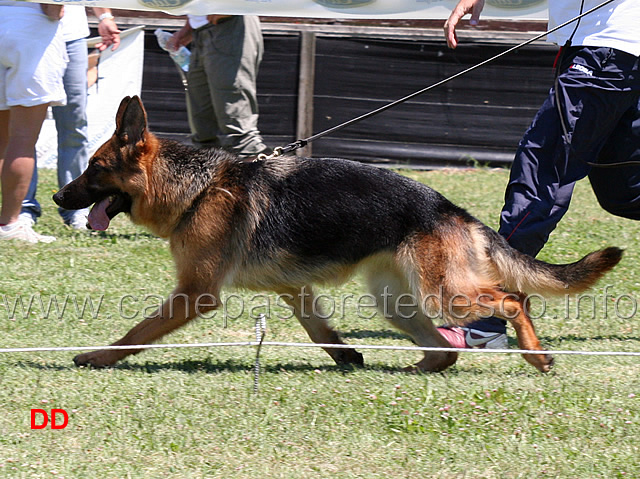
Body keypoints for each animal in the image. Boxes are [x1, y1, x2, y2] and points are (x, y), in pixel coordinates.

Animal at [52, 96, 624, 376]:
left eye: (95, 168)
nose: (57, 198)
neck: (196, 187)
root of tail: (449, 208)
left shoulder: (196, 294)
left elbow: (138, 331)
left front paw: (97, 357)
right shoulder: (292, 287)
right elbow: (318, 330)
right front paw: (345, 355)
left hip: (445, 294)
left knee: (512, 298)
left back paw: (536, 357)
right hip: (399, 302)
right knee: (446, 347)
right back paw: (421, 366)